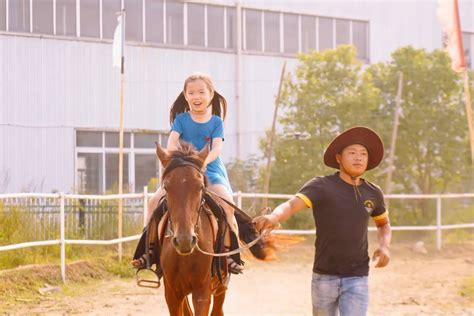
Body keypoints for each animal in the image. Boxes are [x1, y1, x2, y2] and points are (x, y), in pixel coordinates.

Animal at [154, 143, 268, 316]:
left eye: (200, 186)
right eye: (166, 187)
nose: (184, 240)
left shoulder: (202, 292)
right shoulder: (172, 294)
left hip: (220, 286)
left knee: (218, 309)